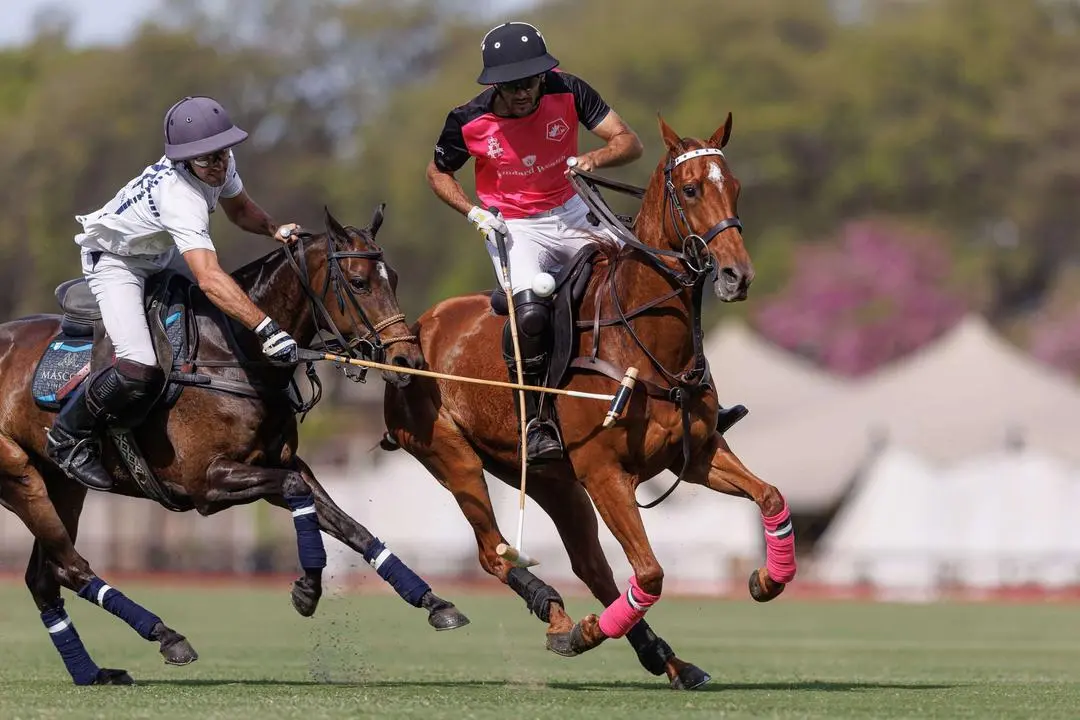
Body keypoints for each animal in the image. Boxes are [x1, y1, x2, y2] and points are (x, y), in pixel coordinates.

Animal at [0, 207, 468, 686]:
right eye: (358, 282)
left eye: (394, 277)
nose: (407, 361)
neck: (236, 351)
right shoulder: (208, 482)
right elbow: (299, 494)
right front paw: (307, 590)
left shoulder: (280, 463)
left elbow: (348, 525)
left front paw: (434, 603)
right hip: (20, 476)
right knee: (70, 567)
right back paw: (165, 635)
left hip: (64, 486)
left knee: (44, 577)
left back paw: (93, 672)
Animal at [384, 115, 799, 690]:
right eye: (692, 189)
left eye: (735, 186)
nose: (738, 276)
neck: (645, 339)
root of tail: (413, 329)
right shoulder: (605, 471)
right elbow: (650, 572)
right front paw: (582, 635)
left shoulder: (696, 454)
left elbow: (772, 497)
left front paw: (767, 580)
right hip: (452, 455)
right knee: (495, 552)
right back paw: (560, 618)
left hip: (550, 480)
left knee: (590, 566)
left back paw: (666, 659)